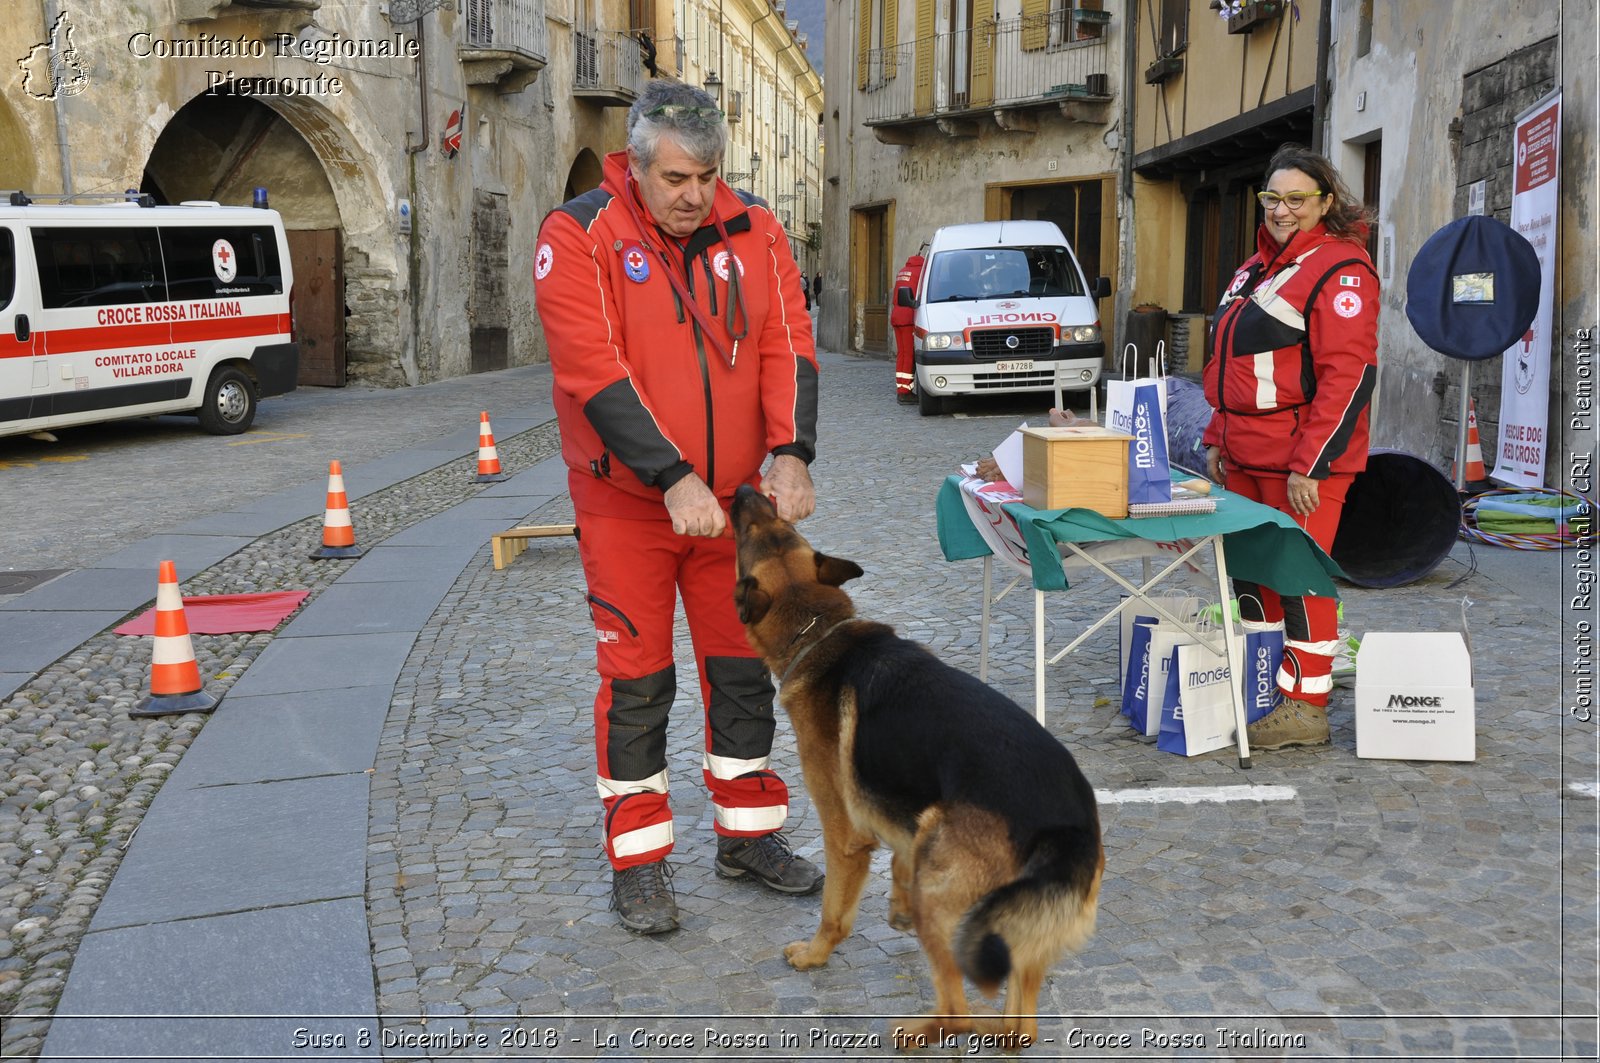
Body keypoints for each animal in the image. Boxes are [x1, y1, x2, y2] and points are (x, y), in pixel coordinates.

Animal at [732, 486, 1107, 1050]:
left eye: (751, 533)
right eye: (777, 526)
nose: (744, 491)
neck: (817, 630)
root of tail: (1066, 825)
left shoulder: (844, 836)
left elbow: (834, 912)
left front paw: (814, 955)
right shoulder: (906, 820)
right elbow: (901, 858)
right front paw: (896, 904)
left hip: (946, 894)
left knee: (960, 1011)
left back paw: (916, 1031)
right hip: (1016, 929)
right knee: (1019, 1028)